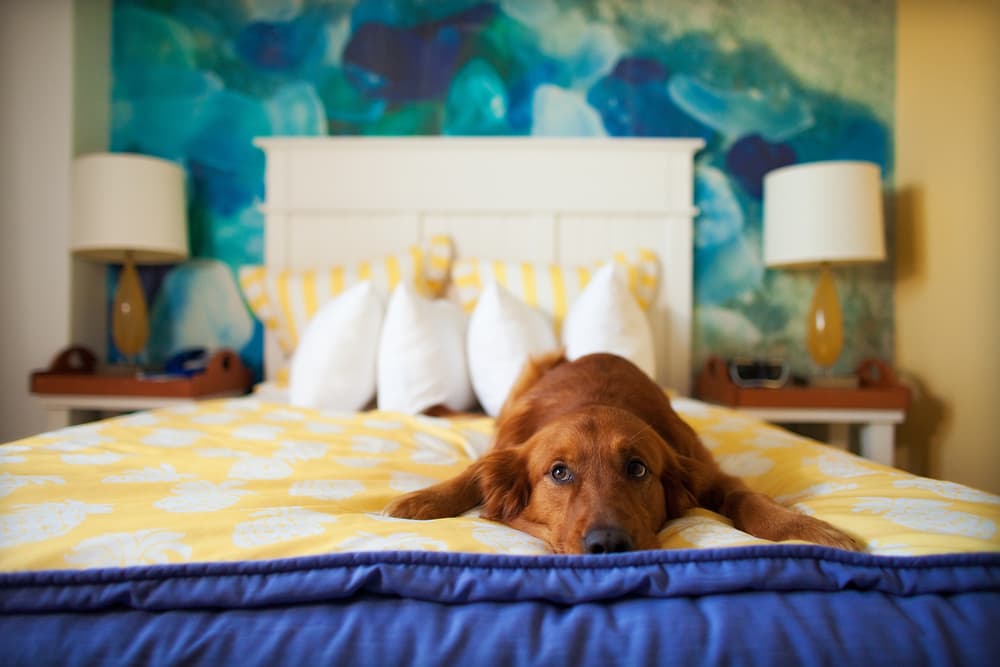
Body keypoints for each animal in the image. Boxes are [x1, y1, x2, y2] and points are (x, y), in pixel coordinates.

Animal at [382, 352, 860, 556]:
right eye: (559, 472)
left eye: (637, 468)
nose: (608, 544)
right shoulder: (506, 447)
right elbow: (475, 472)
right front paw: (422, 500)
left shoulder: (704, 468)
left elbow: (748, 498)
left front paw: (805, 528)